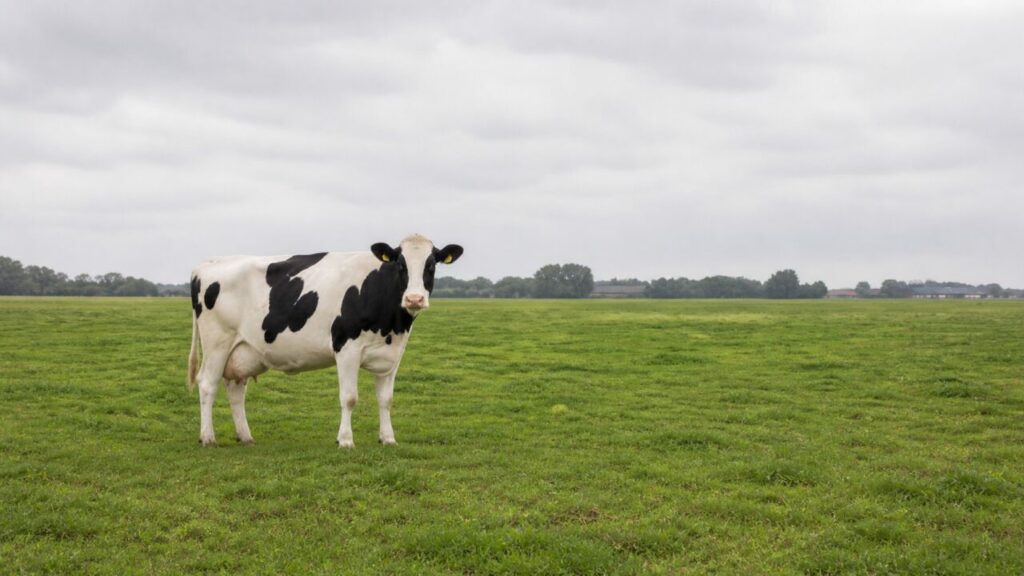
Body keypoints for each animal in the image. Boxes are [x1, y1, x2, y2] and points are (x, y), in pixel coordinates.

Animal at [186, 234, 463, 448]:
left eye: (431, 265)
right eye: (400, 265)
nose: (414, 299)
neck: (392, 325)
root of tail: (206, 264)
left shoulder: (392, 356)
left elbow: (386, 399)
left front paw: (388, 438)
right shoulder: (347, 348)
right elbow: (349, 397)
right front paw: (346, 440)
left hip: (242, 350)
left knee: (235, 389)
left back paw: (245, 436)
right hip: (217, 343)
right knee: (207, 384)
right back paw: (208, 437)